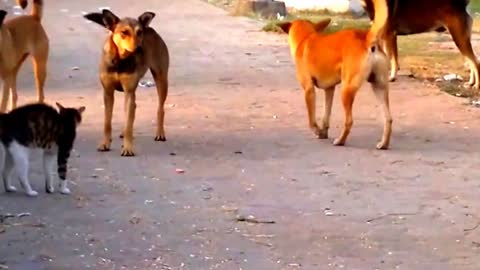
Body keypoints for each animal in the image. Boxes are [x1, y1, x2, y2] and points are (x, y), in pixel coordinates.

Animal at [83, 9, 170, 157]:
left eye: (140, 32)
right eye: (124, 32)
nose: (140, 48)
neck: (120, 60)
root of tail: (151, 28)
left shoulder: (129, 91)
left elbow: (129, 124)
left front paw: (128, 148)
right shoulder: (108, 92)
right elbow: (107, 123)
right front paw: (105, 143)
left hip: (161, 78)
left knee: (160, 108)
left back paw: (160, 133)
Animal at [278, 0, 394, 150]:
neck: (306, 38)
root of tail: (365, 38)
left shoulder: (309, 90)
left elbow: (311, 119)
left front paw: (317, 131)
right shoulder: (329, 89)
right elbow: (326, 115)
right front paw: (323, 132)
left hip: (347, 89)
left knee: (349, 121)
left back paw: (340, 141)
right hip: (379, 87)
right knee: (388, 118)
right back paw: (384, 143)